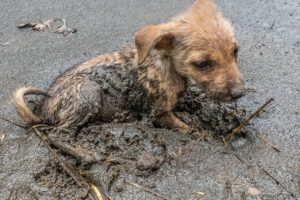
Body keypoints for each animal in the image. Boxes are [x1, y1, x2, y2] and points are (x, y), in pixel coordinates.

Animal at [13, 0, 244, 133]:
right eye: (202, 64)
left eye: (235, 51)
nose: (239, 93)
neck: (167, 66)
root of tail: (43, 110)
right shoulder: (160, 114)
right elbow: (185, 127)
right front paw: (197, 130)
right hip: (89, 91)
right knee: (61, 130)